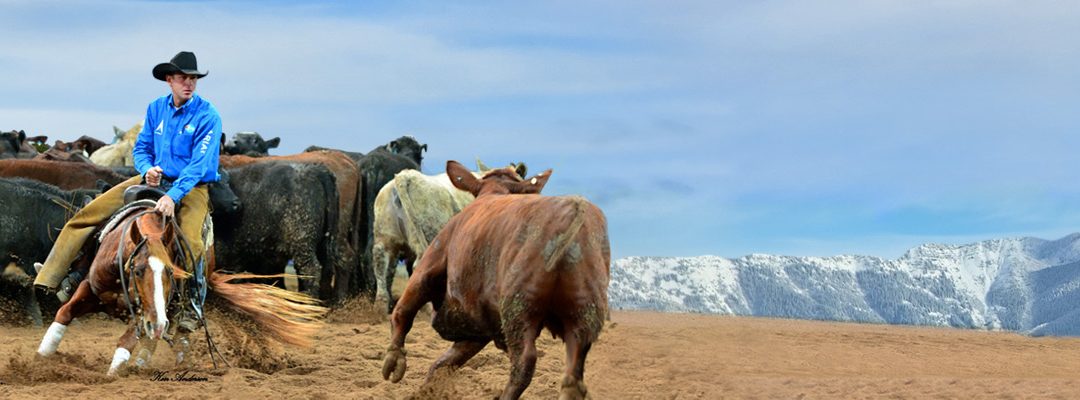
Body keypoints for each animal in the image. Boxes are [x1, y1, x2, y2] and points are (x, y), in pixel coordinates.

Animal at [36, 199, 324, 374]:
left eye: (171, 273)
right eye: (138, 270)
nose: (158, 323)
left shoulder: (145, 315)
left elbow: (127, 340)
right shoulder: (91, 289)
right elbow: (64, 314)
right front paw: (38, 360)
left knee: (172, 335)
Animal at [384, 160, 613, 399]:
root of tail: (573, 211)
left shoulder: (432, 261)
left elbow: (404, 310)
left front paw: (394, 361)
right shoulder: (479, 326)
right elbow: (444, 363)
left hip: (519, 308)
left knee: (524, 361)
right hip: (584, 313)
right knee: (572, 375)